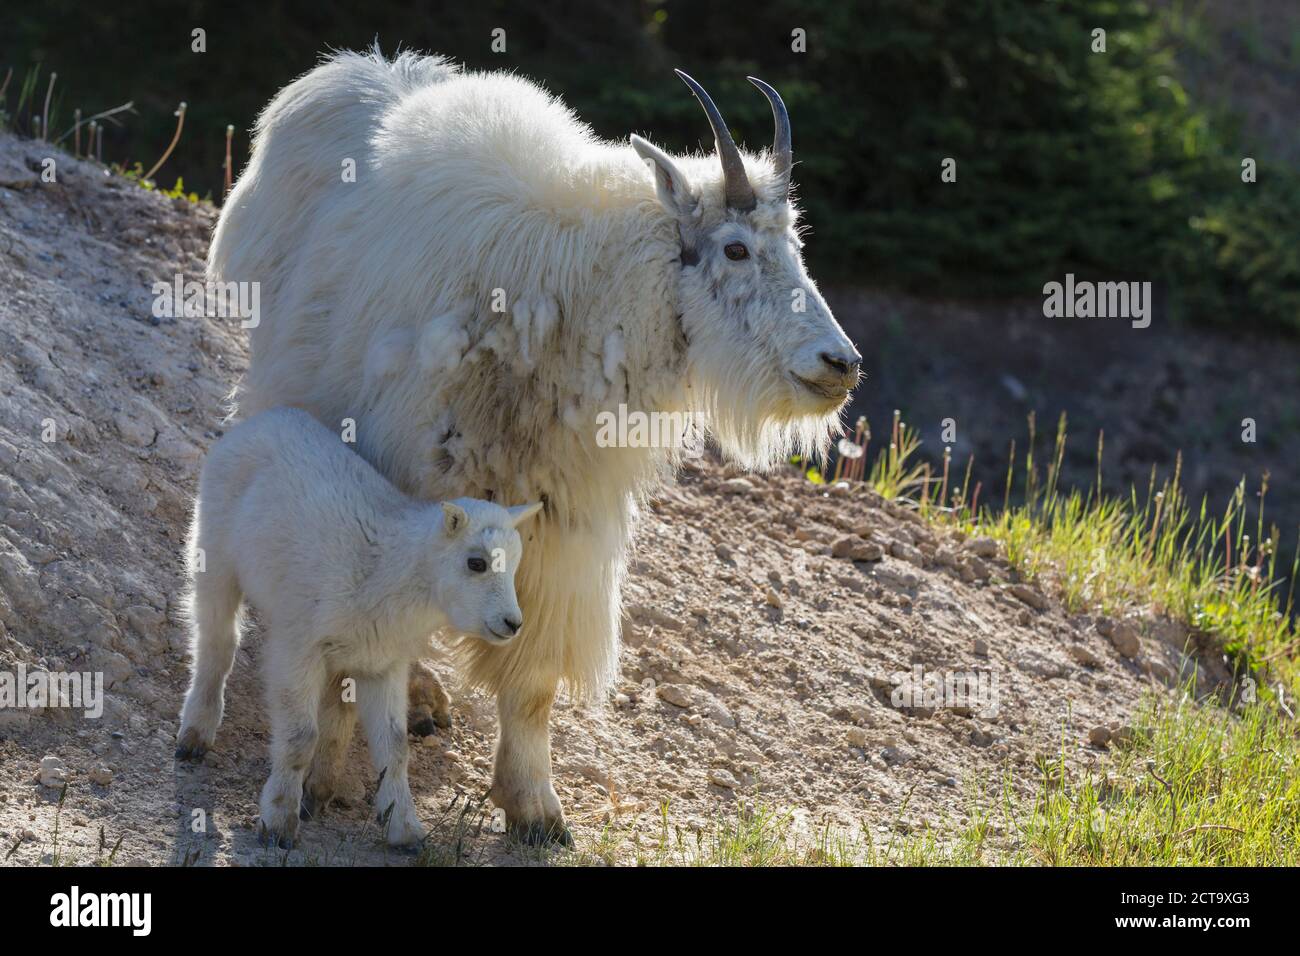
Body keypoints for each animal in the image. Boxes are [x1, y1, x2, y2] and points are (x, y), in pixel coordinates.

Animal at [210, 48, 863, 842]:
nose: (839, 364)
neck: (569, 302)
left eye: (794, 246)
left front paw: (534, 807)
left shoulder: (563, 527)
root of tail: (337, 74)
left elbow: (532, 681)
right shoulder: (388, 479)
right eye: (735, 248)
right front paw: (326, 778)